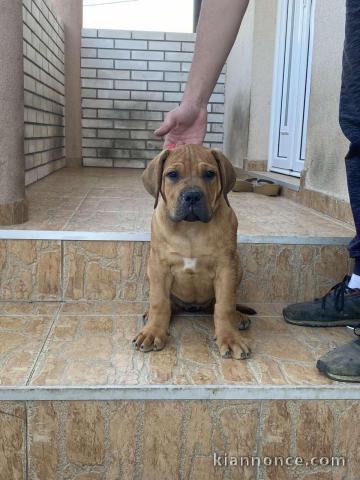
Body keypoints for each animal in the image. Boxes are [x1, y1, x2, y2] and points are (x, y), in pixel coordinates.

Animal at [134, 144, 252, 358]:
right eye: (172, 174)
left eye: (209, 174)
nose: (192, 196)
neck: (190, 228)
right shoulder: (159, 266)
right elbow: (159, 302)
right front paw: (153, 332)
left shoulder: (226, 267)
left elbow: (224, 305)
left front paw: (229, 338)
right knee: (169, 304)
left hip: (238, 267)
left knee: (219, 305)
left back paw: (238, 317)